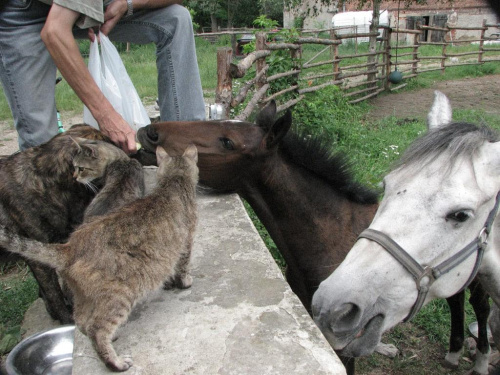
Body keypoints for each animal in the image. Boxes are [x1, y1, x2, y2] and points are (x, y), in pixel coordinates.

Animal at [0, 145, 199, 372]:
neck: (172, 184)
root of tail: (70, 247)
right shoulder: (185, 243)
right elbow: (182, 267)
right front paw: (184, 282)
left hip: (84, 298)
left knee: (82, 323)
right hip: (119, 297)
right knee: (96, 329)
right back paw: (116, 362)